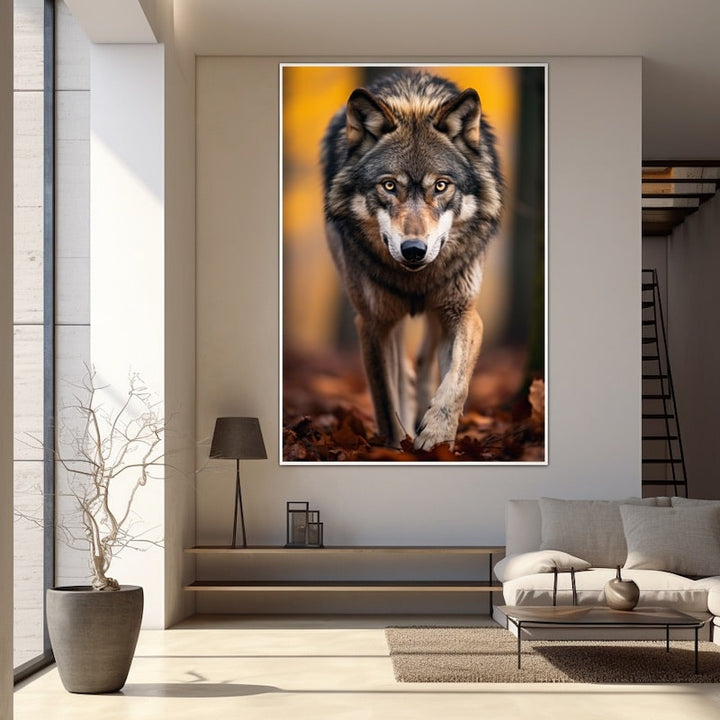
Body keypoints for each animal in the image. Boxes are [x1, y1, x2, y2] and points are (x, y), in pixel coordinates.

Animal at [321, 70, 503, 450]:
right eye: (389, 186)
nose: (414, 250)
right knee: (404, 372)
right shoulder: (372, 323)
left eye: (441, 186)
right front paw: (395, 447)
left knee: (422, 361)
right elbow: (385, 402)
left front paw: (435, 436)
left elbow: (455, 383)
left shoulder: (464, 313)